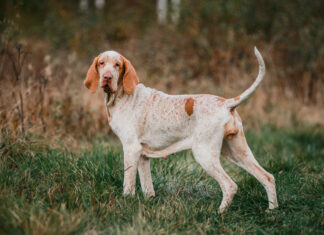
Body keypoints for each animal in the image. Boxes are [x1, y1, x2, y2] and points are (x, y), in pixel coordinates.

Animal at [83, 46, 278, 212]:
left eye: (117, 65)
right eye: (101, 63)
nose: (107, 77)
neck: (121, 96)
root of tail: (227, 103)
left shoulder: (131, 149)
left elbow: (128, 184)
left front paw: (126, 203)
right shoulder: (143, 156)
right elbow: (147, 187)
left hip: (204, 153)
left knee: (230, 185)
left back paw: (219, 213)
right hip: (237, 152)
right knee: (267, 177)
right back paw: (272, 210)